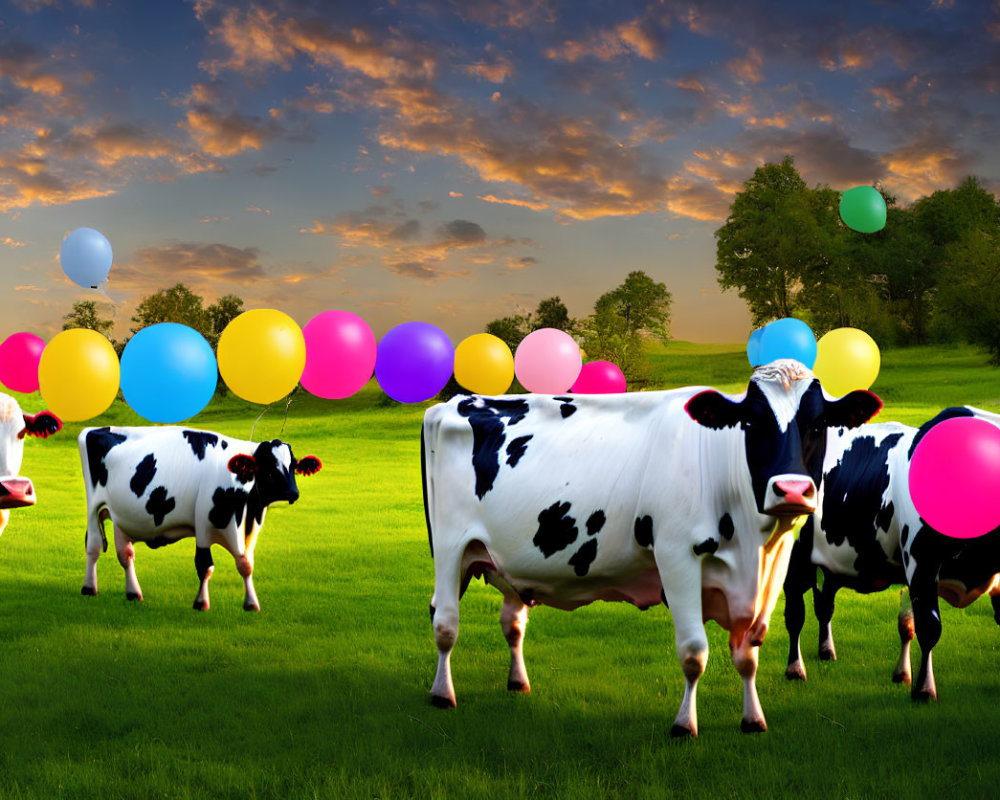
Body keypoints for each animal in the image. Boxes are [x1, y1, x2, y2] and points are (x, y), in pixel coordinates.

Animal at [78, 428, 320, 608]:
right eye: (269, 467)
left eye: (294, 465)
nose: (293, 493)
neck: (248, 510)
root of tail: (94, 429)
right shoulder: (204, 521)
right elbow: (205, 565)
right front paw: (201, 603)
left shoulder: (248, 528)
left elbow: (246, 564)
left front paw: (251, 604)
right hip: (93, 507)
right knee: (93, 547)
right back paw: (89, 588)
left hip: (121, 517)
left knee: (125, 554)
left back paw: (133, 593)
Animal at [422, 360, 884, 736]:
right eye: (752, 424)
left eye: (819, 423)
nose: (791, 489)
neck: (753, 547)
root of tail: (452, 403)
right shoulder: (676, 556)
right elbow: (694, 652)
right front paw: (684, 724)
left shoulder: (772, 570)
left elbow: (748, 654)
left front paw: (753, 719)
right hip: (449, 548)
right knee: (445, 622)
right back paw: (442, 694)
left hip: (505, 560)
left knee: (513, 621)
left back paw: (518, 683)